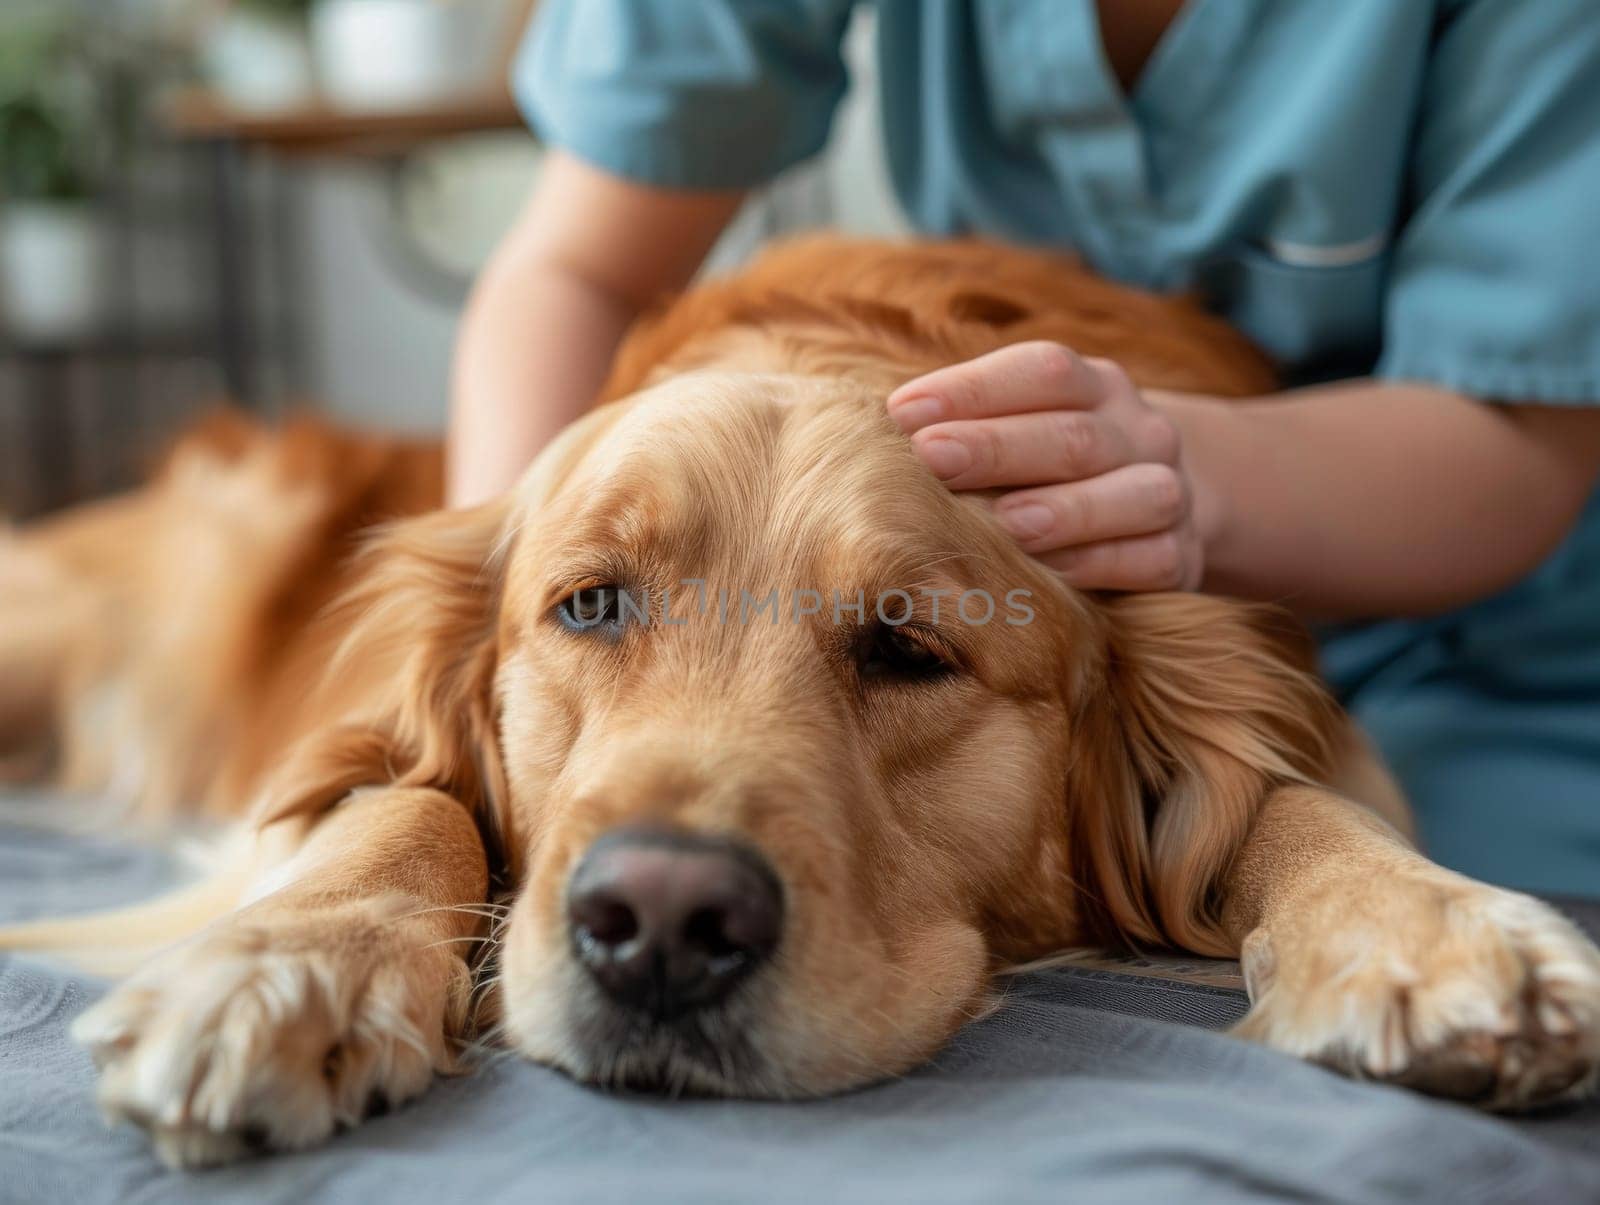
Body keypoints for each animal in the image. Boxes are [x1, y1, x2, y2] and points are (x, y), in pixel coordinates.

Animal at [3, 235, 1600, 1164]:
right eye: (589, 605)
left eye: (908, 648)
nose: (658, 924)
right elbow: (404, 801)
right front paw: (288, 962)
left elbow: (1288, 801)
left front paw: (1428, 928)